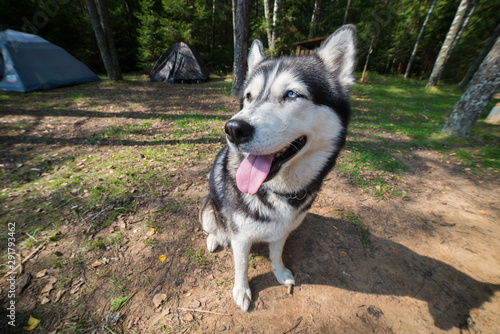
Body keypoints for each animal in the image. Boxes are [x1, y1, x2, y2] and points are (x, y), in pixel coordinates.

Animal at [199, 24, 356, 312]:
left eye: (292, 94)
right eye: (248, 97)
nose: (233, 129)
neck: (276, 191)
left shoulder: (284, 230)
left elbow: (277, 253)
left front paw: (280, 272)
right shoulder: (240, 237)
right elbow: (241, 266)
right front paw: (242, 290)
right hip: (206, 206)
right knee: (214, 228)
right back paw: (215, 238)